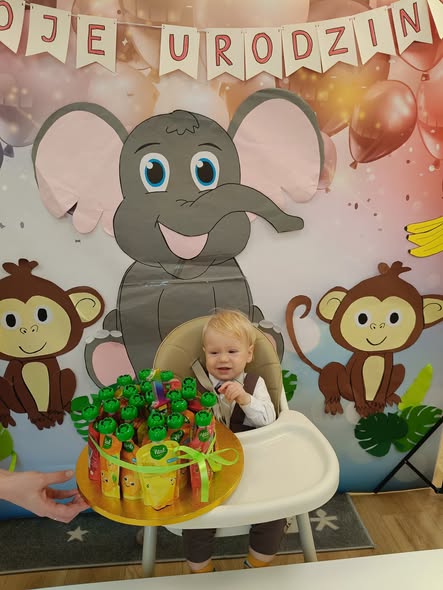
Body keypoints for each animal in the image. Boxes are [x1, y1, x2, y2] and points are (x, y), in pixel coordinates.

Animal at [0, 259, 105, 429]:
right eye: (10, 319)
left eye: (42, 314)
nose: (29, 329)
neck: (34, 360)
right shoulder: (16, 368)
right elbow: (25, 395)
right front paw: (38, 418)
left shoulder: (52, 366)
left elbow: (55, 383)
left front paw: (56, 413)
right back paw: (6, 416)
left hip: (68, 375)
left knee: (67, 374)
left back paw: (69, 407)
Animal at [32, 89, 323, 387]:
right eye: (153, 172)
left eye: (206, 171)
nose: (293, 223)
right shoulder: (136, 300)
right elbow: (143, 338)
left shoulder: (233, 285)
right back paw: (107, 351)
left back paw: (267, 333)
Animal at [286, 262, 443, 417]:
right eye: (362, 318)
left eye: (394, 317)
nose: (378, 325)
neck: (375, 353)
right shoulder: (358, 364)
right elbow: (357, 384)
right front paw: (362, 407)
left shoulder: (388, 360)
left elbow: (385, 382)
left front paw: (379, 403)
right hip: (340, 382)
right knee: (333, 372)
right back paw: (334, 402)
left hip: (398, 370)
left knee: (399, 369)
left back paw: (389, 398)